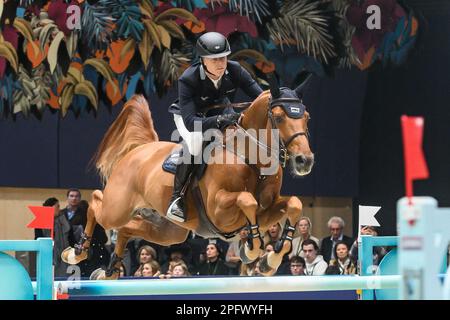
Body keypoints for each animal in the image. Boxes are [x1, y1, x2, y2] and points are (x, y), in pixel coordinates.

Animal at [62, 82, 312, 278]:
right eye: (279, 117)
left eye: (306, 117)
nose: (304, 160)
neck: (250, 159)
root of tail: (141, 149)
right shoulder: (219, 211)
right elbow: (246, 199)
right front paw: (251, 250)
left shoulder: (266, 211)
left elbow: (294, 203)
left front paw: (269, 260)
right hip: (117, 208)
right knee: (95, 203)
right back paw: (76, 252)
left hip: (169, 232)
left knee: (127, 229)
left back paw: (110, 270)